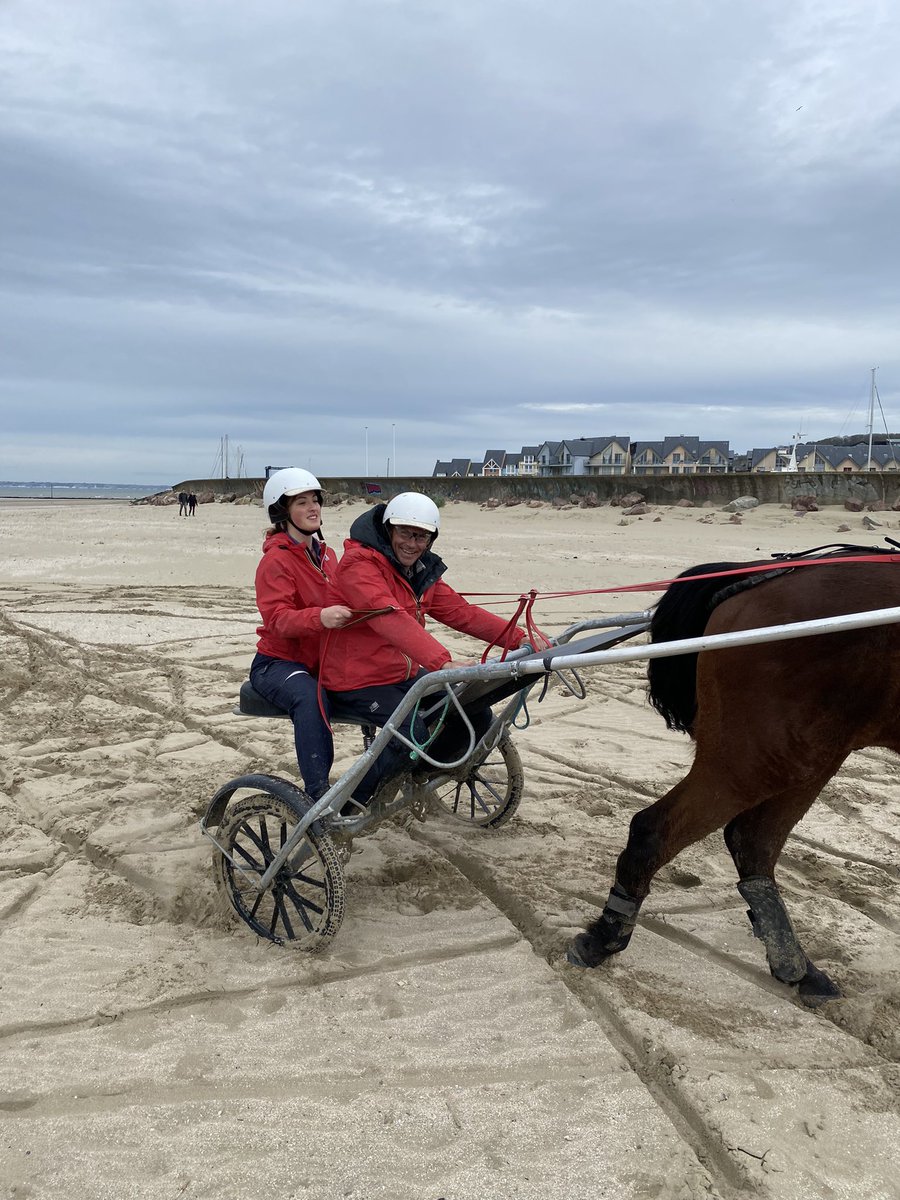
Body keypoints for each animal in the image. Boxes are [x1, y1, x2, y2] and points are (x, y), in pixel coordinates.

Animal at [566, 547, 900, 1003]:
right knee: (655, 830)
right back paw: (604, 937)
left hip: (804, 755)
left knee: (752, 841)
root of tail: (761, 576)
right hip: (754, 757)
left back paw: (797, 967)